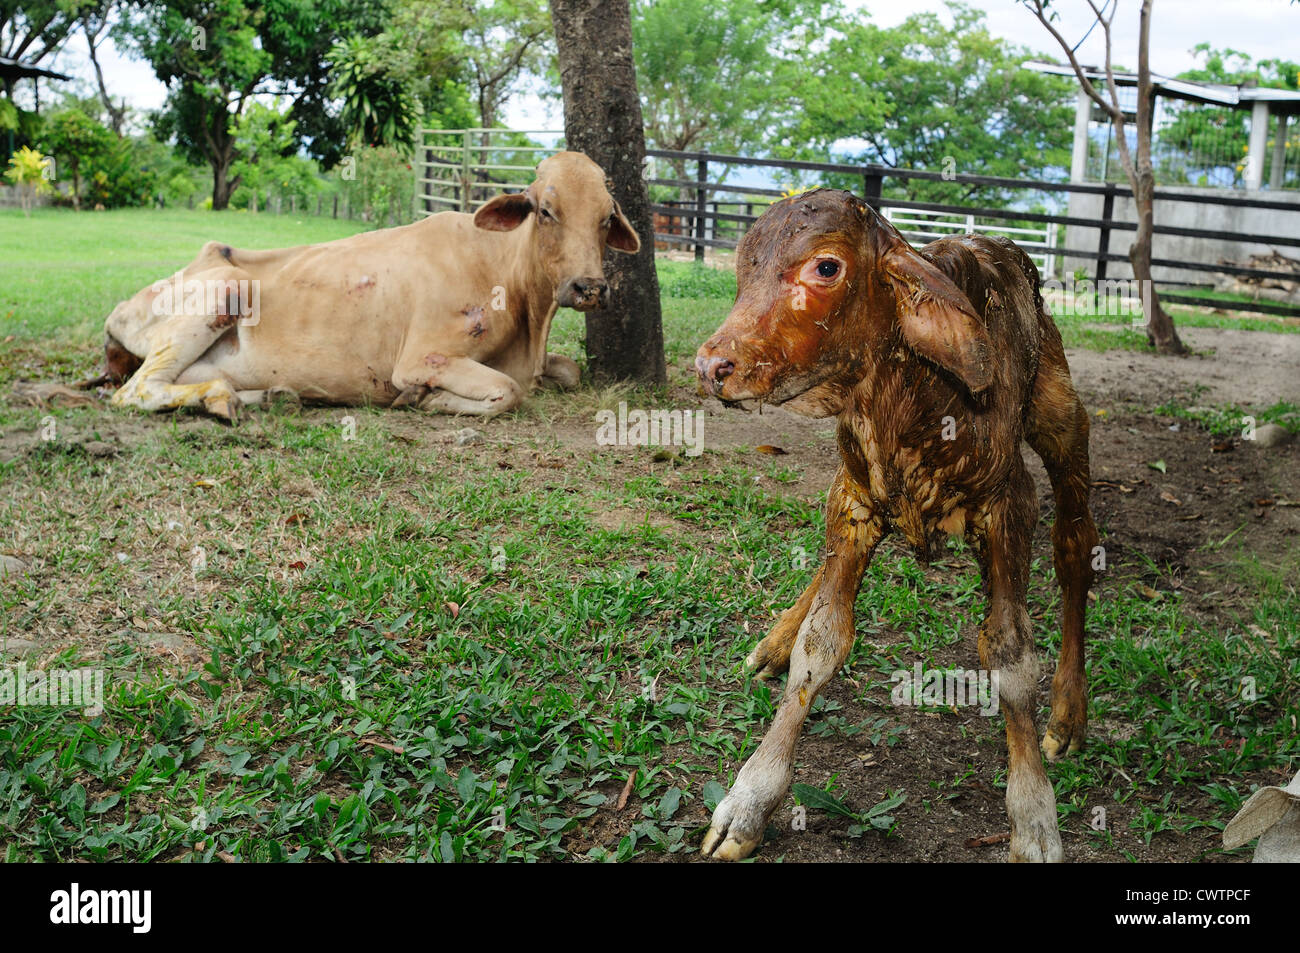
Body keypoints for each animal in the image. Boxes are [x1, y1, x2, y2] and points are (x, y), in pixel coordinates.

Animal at [91, 152, 639, 421]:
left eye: (607, 216)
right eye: (545, 210)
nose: (589, 287)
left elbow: (569, 371)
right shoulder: (420, 357)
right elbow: (508, 391)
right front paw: (421, 400)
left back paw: (262, 397)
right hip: (226, 287)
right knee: (136, 392)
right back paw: (223, 401)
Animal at [694, 189, 1099, 862]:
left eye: (825, 267)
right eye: (745, 265)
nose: (712, 366)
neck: (910, 398)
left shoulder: (1010, 504)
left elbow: (1011, 657)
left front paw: (1035, 817)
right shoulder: (853, 497)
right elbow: (821, 642)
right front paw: (750, 797)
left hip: (1061, 419)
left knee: (1075, 548)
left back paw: (1068, 714)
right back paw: (775, 638)